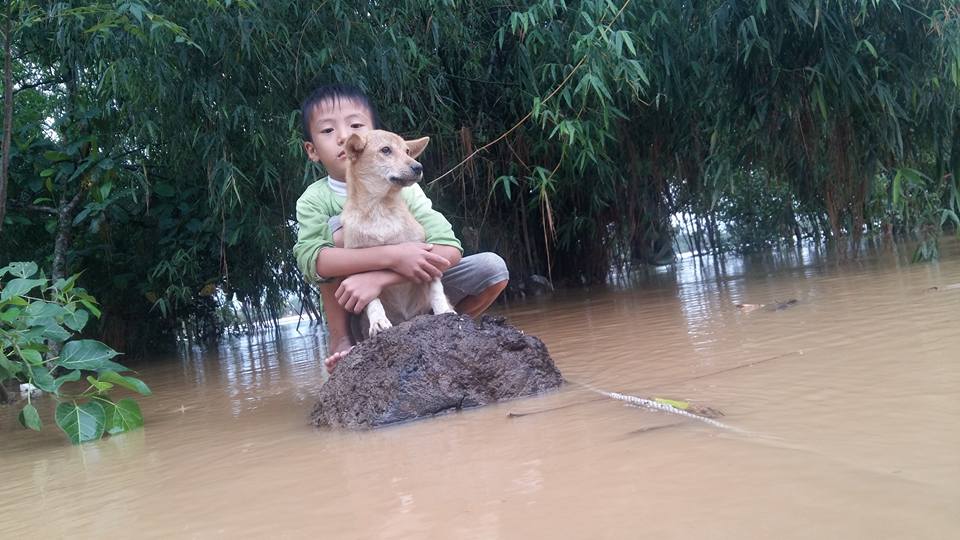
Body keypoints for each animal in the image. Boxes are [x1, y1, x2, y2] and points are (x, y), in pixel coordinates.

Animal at [340, 129, 456, 338]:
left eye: (407, 151)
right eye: (386, 150)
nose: (419, 167)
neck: (379, 209)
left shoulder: (428, 255)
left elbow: (436, 289)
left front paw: (444, 311)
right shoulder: (358, 267)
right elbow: (372, 300)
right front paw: (378, 321)